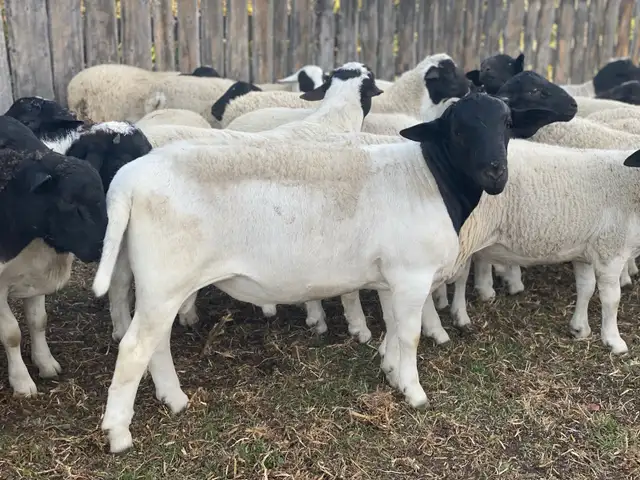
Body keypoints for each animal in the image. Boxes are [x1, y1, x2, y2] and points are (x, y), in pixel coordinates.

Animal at [0, 116, 108, 396]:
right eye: (70, 202)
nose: (103, 248)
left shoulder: (34, 273)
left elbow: (38, 321)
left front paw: (46, 363)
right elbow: (11, 333)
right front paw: (22, 381)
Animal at [91, 93, 514, 453]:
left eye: (507, 123)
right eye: (458, 129)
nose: (497, 173)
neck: (429, 177)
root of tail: (127, 182)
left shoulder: (392, 276)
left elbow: (394, 328)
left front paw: (392, 372)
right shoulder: (412, 274)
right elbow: (409, 335)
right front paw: (413, 392)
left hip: (159, 283)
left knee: (155, 343)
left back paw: (174, 400)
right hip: (167, 279)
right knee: (134, 349)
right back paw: (119, 433)